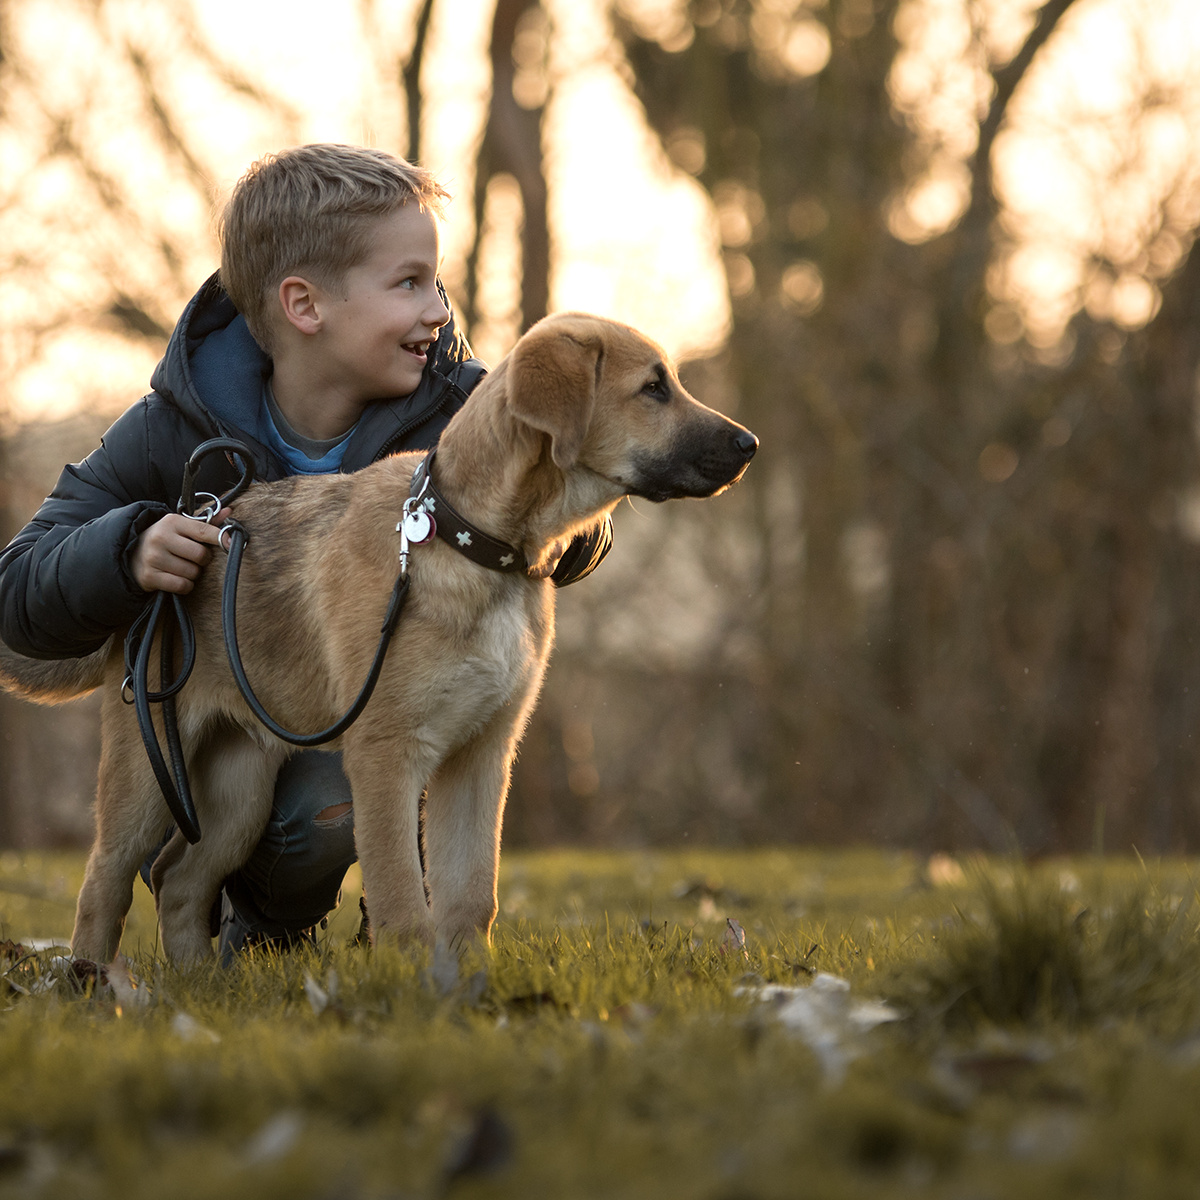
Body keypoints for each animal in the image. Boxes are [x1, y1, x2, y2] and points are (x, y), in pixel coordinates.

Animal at [0, 312, 758, 964]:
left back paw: (201, 987)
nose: (750, 445)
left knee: (181, 880)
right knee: (106, 880)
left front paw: (469, 995)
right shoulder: (387, 756)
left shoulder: (480, 756)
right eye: (653, 388)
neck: (471, 540)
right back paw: (94, 986)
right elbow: (401, 902)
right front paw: (416, 997)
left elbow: (470, 899)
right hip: (149, 763)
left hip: (239, 782)